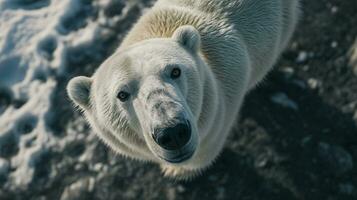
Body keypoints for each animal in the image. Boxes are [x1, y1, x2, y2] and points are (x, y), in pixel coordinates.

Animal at [66, 0, 298, 178]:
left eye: (175, 71)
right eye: (122, 94)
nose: (173, 132)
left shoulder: (217, 116)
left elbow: (202, 153)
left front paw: (177, 171)